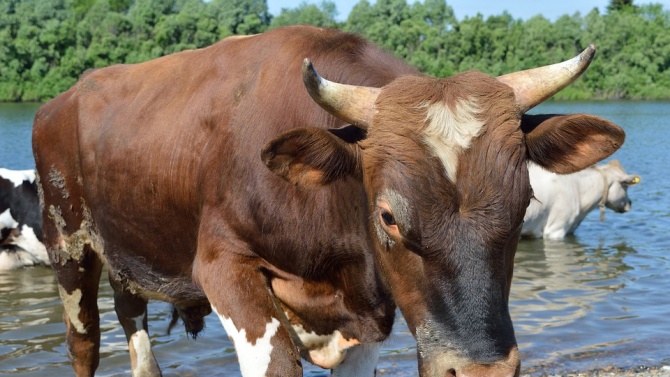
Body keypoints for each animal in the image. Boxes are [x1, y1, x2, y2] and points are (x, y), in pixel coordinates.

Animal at [31, 26, 624, 376]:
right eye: (387, 216)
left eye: (525, 203)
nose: (482, 371)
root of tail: (65, 97)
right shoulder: (223, 267)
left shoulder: (364, 321)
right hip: (68, 247)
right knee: (83, 344)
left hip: (129, 257)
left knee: (135, 328)